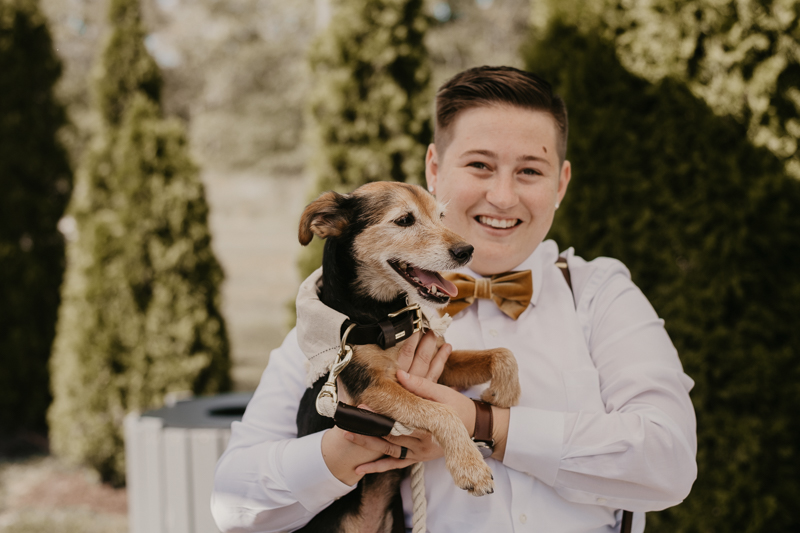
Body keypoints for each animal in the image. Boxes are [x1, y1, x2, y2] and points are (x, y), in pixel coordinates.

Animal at [294, 182, 520, 532]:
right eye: (404, 220)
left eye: (441, 216)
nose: (467, 250)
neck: (382, 317)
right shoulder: (374, 389)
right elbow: (442, 411)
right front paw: (470, 467)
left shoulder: (443, 365)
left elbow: (502, 352)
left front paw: (502, 393)